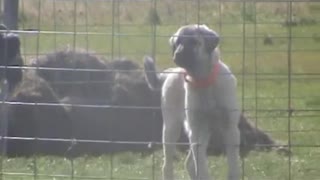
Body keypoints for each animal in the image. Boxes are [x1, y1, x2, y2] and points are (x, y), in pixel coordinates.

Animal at [144, 24, 240, 180]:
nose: (177, 55)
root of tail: (172, 72)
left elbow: (233, 164)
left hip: (202, 131)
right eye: (177, 43)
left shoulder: (230, 128)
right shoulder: (197, 130)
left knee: (189, 163)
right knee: (168, 165)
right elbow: (201, 165)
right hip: (172, 128)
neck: (204, 81)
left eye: (194, 42)